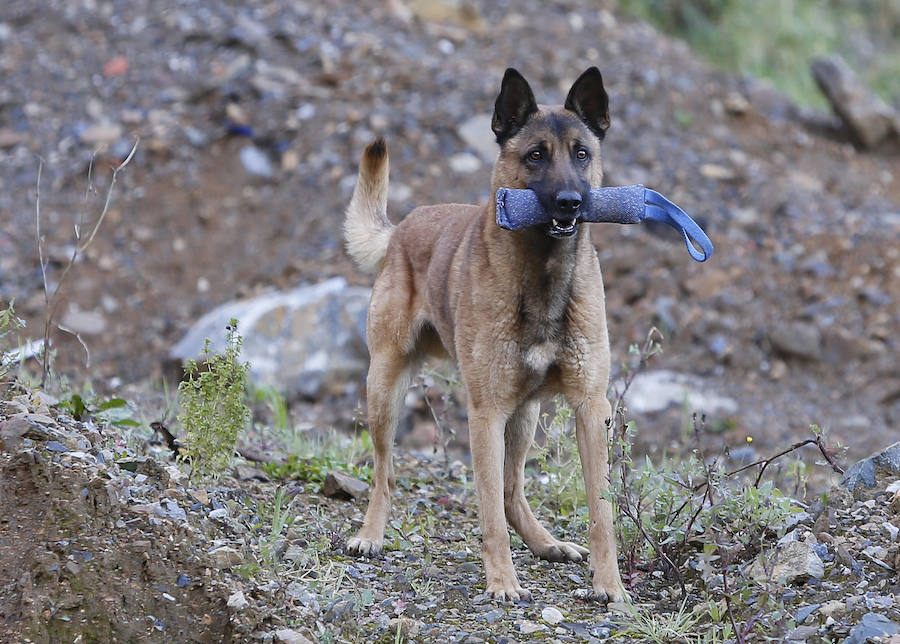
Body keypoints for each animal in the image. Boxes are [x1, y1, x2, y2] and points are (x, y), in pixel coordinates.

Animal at [344, 68, 624, 600]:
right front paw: (502, 583)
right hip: (385, 389)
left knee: (514, 489)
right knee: (385, 473)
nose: (570, 203)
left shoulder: (589, 407)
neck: (542, 275)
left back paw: (547, 543)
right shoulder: (486, 413)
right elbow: (489, 510)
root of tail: (402, 228)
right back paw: (370, 534)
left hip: (525, 414)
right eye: (535, 155)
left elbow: (601, 511)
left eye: (582, 153)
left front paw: (610, 585)